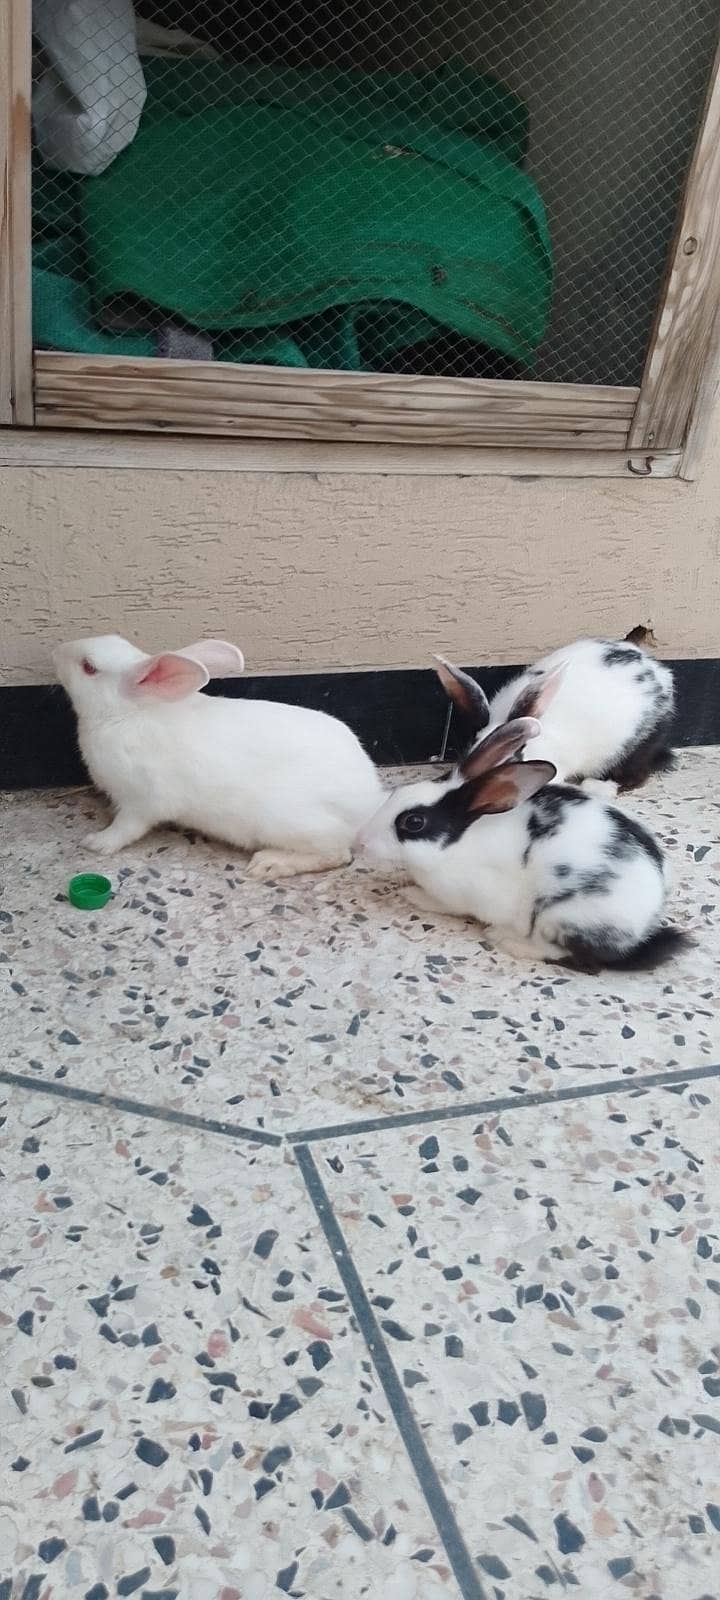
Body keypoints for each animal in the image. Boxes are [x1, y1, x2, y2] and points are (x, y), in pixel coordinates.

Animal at [54, 634, 384, 878]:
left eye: (88, 667)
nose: (58, 650)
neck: (127, 714)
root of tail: (368, 804)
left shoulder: (142, 801)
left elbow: (126, 827)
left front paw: (96, 843)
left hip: (291, 823)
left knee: (336, 854)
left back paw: (269, 864)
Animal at [356, 717, 688, 972]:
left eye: (413, 822)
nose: (362, 843)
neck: (457, 844)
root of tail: (641, 934)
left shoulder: (469, 894)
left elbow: (444, 905)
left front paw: (412, 895)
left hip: (561, 917)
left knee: (577, 959)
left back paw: (506, 940)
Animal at [434, 635, 675, 794]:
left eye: (515, 756)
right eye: (468, 750)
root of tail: (655, 669)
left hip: (636, 746)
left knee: (636, 775)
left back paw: (598, 786)